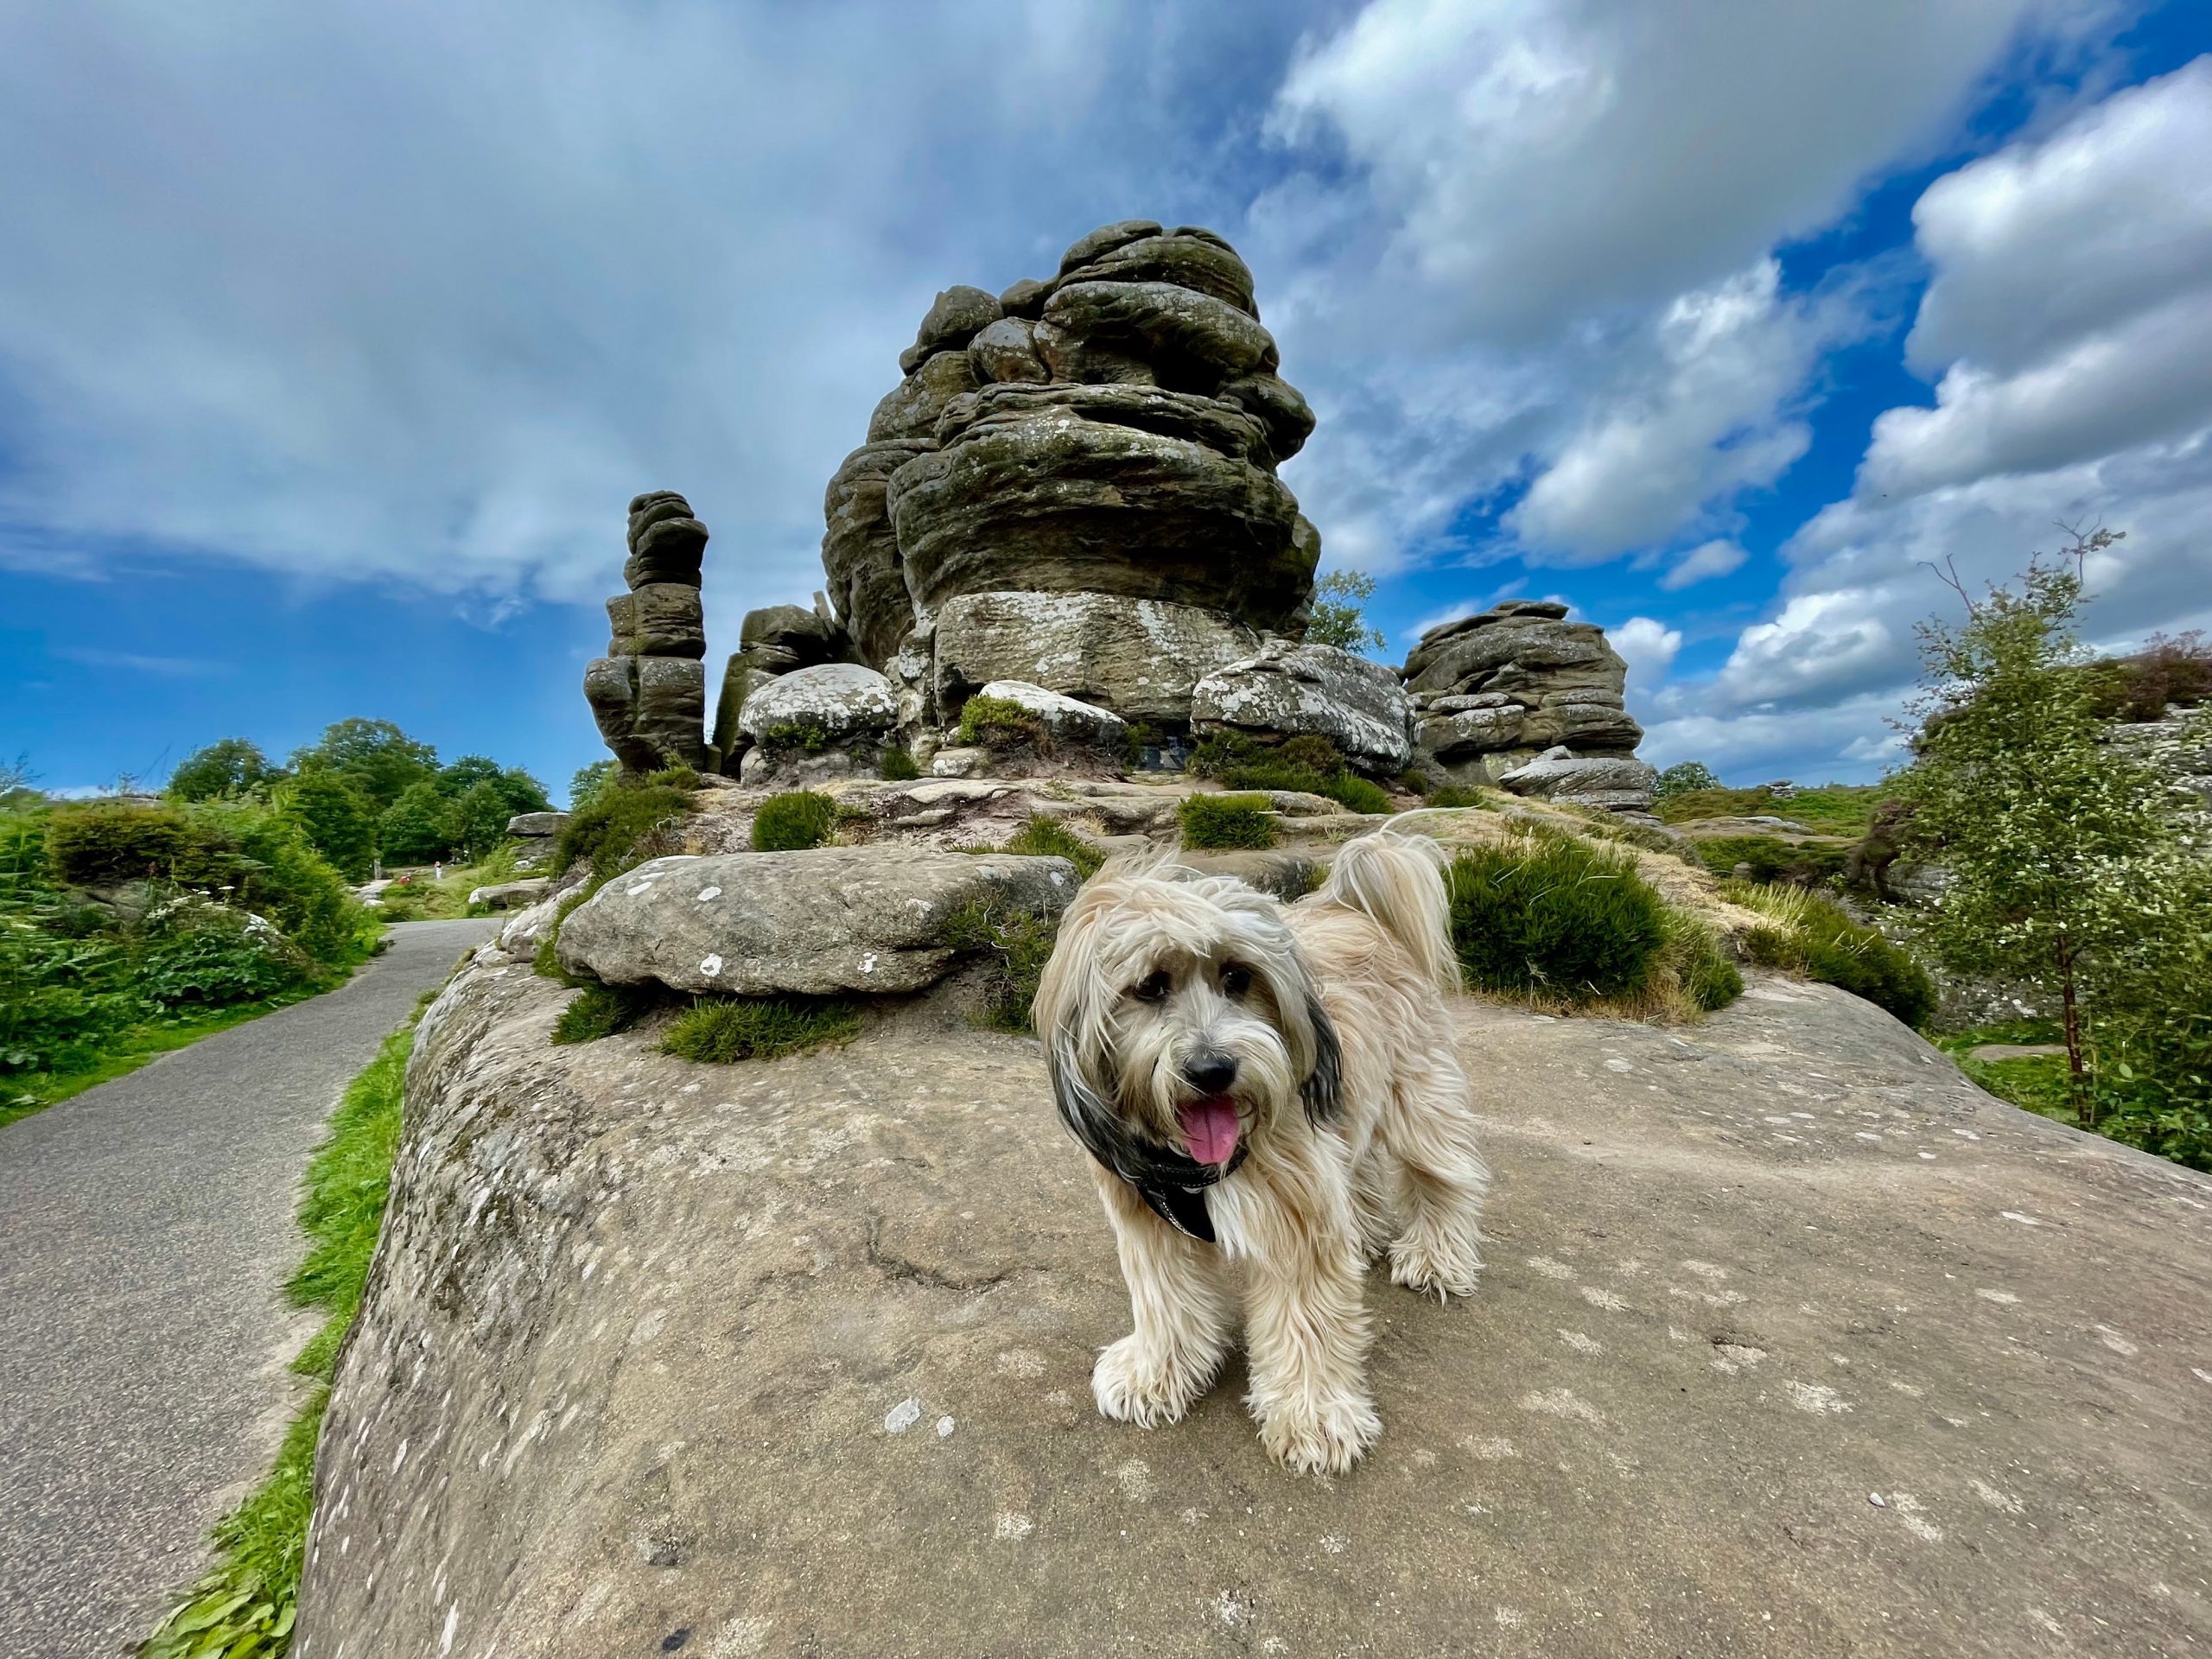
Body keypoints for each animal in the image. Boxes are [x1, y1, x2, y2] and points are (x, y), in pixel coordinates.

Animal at [1030, 836, 1486, 1478]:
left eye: (1237, 976)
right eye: (1150, 986)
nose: (1212, 1070)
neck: (1192, 1167)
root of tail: (1353, 908)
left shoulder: (1297, 1217)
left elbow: (1306, 1321)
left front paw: (1313, 1417)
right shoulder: (1149, 1219)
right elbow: (1166, 1300)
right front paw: (1155, 1373)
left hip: (1416, 1096)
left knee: (1442, 1173)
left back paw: (1436, 1256)